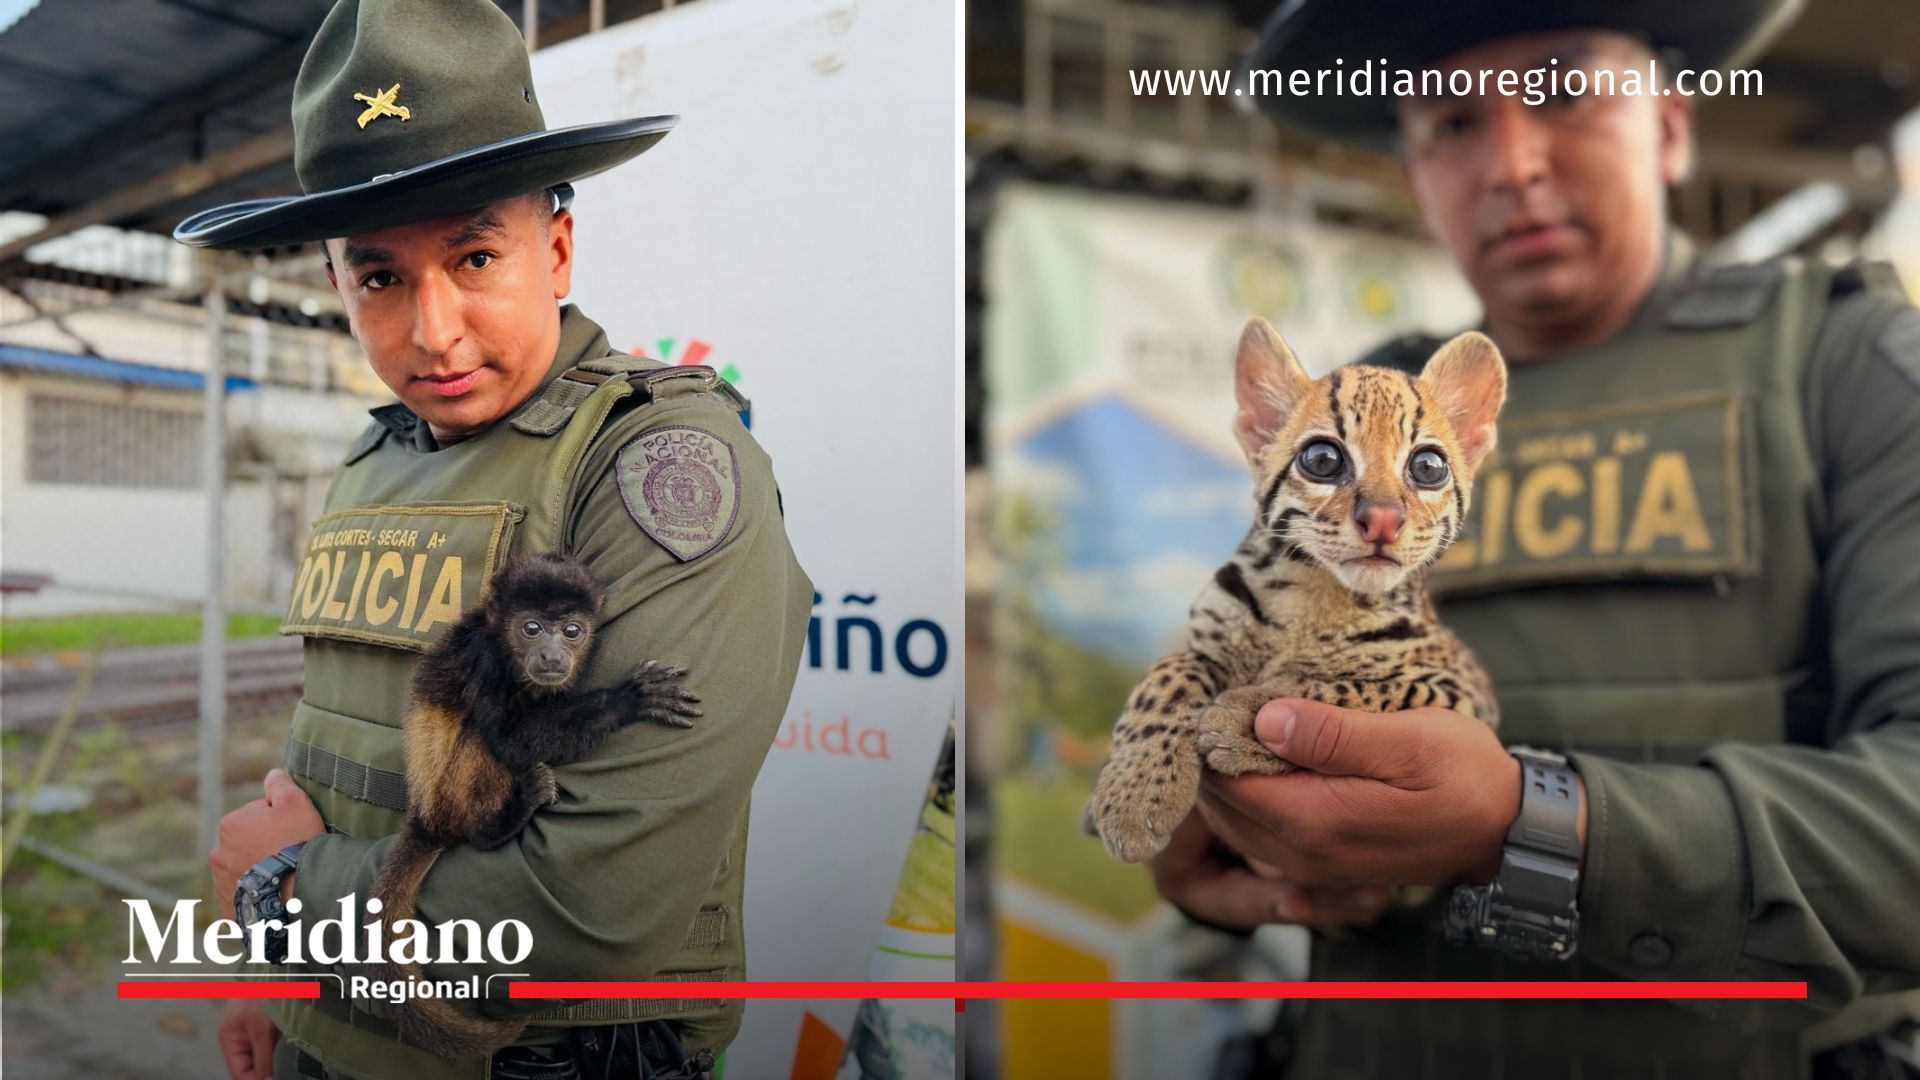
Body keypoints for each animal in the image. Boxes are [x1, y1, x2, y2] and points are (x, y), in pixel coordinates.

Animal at [368, 552, 703, 1059]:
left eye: (571, 630)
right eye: (531, 628)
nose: (550, 655)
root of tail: (426, 817)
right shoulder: (486, 661)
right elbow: (507, 740)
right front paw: (626, 699)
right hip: (450, 797)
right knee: (481, 738)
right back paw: (497, 824)